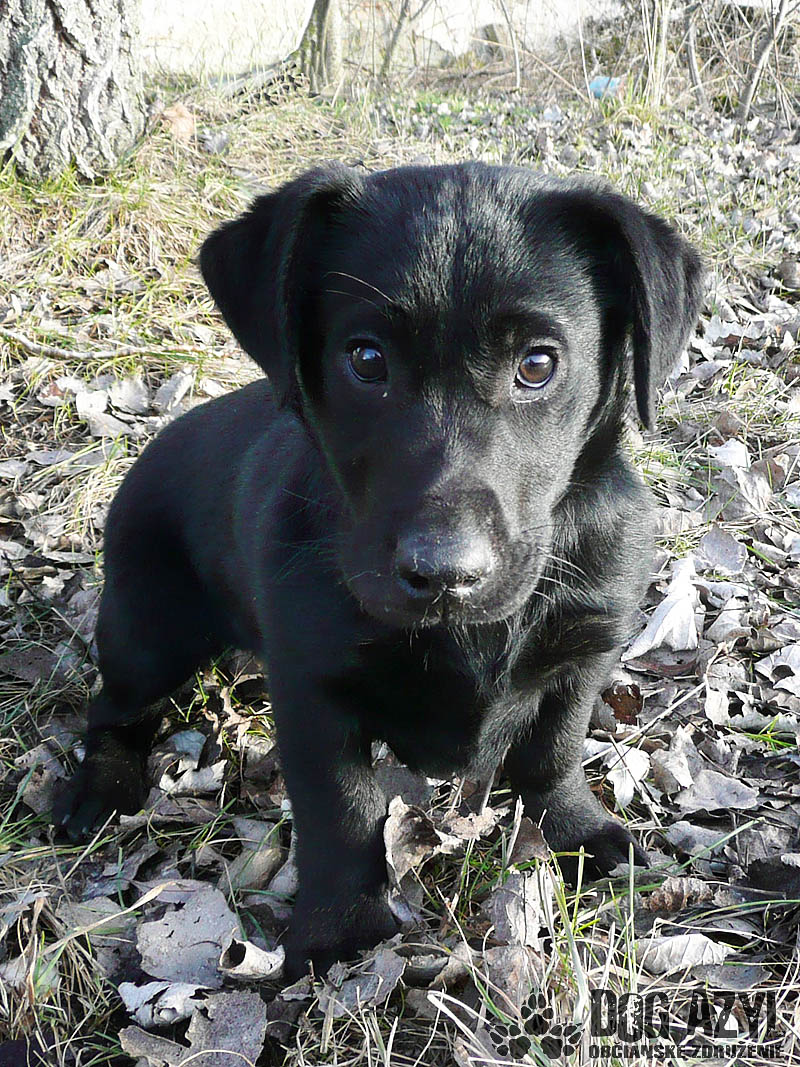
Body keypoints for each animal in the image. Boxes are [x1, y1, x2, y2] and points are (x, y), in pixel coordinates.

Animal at [54, 162, 703, 979]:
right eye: (366, 359)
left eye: (537, 364)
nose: (444, 572)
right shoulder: (314, 692)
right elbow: (341, 813)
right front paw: (340, 929)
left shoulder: (584, 648)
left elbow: (554, 749)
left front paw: (577, 830)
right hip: (147, 632)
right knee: (112, 708)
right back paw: (102, 787)